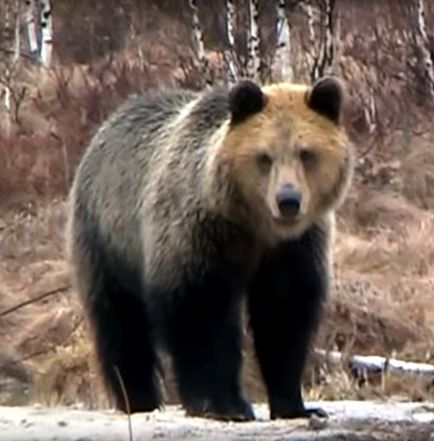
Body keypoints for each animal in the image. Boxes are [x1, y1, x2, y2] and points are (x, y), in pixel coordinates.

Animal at [67, 75, 352, 420]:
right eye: (265, 157)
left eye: (306, 153)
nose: (288, 201)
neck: (252, 225)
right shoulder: (197, 235)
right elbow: (198, 315)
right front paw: (218, 403)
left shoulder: (294, 248)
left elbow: (284, 315)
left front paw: (296, 405)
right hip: (108, 238)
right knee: (121, 321)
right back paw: (137, 398)